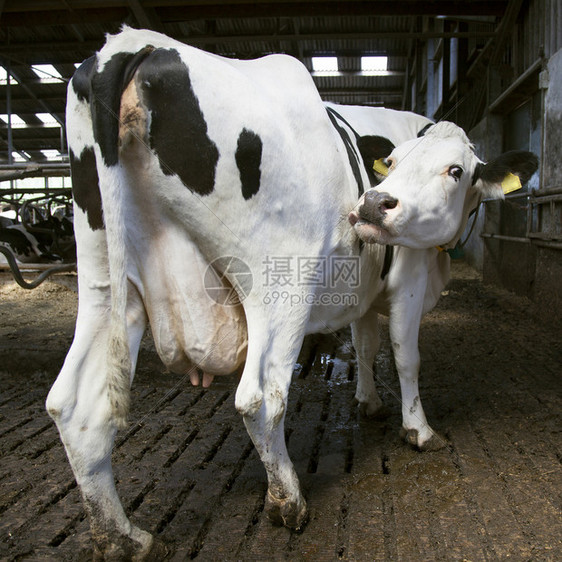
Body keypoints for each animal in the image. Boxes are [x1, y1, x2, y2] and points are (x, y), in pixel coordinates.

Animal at [46, 28, 536, 556]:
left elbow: (366, 344)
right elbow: (406, 356)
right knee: (260, 398)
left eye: (455, 170)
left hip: (106, 279)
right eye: (393, 163)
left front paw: (368, 402)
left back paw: (122, 536)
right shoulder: (409, 275)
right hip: (280, 287)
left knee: (75, 405)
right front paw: (420, 431)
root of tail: (135, 43)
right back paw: (289, 502)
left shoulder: (364, 287)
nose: (372, 204)